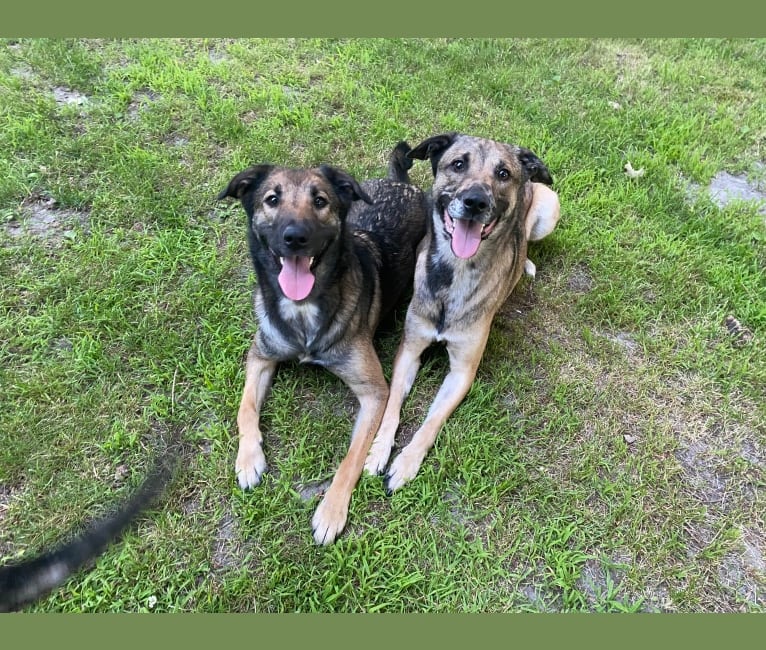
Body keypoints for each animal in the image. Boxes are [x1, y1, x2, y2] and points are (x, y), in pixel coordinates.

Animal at [219, 146, 428, 540]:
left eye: (320, 201)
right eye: (272, 199)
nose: (294, 236)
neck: (303, 310)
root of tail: (400, 183)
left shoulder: (374, 391)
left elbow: (351, 458)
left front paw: (331, 511)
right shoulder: (260, 355)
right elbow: (246, 407)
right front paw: (248, 459)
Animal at [364, 132, 560, 488]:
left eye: (503, 173)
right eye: (458, 164)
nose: (475, 202)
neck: (454, 273)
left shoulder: (462, 372)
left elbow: (432, 421)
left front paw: (406, 464)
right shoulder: (408, 350)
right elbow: (391, 407)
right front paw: (376, 453)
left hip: (549, 207)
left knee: (526, 237)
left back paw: (525, 263)